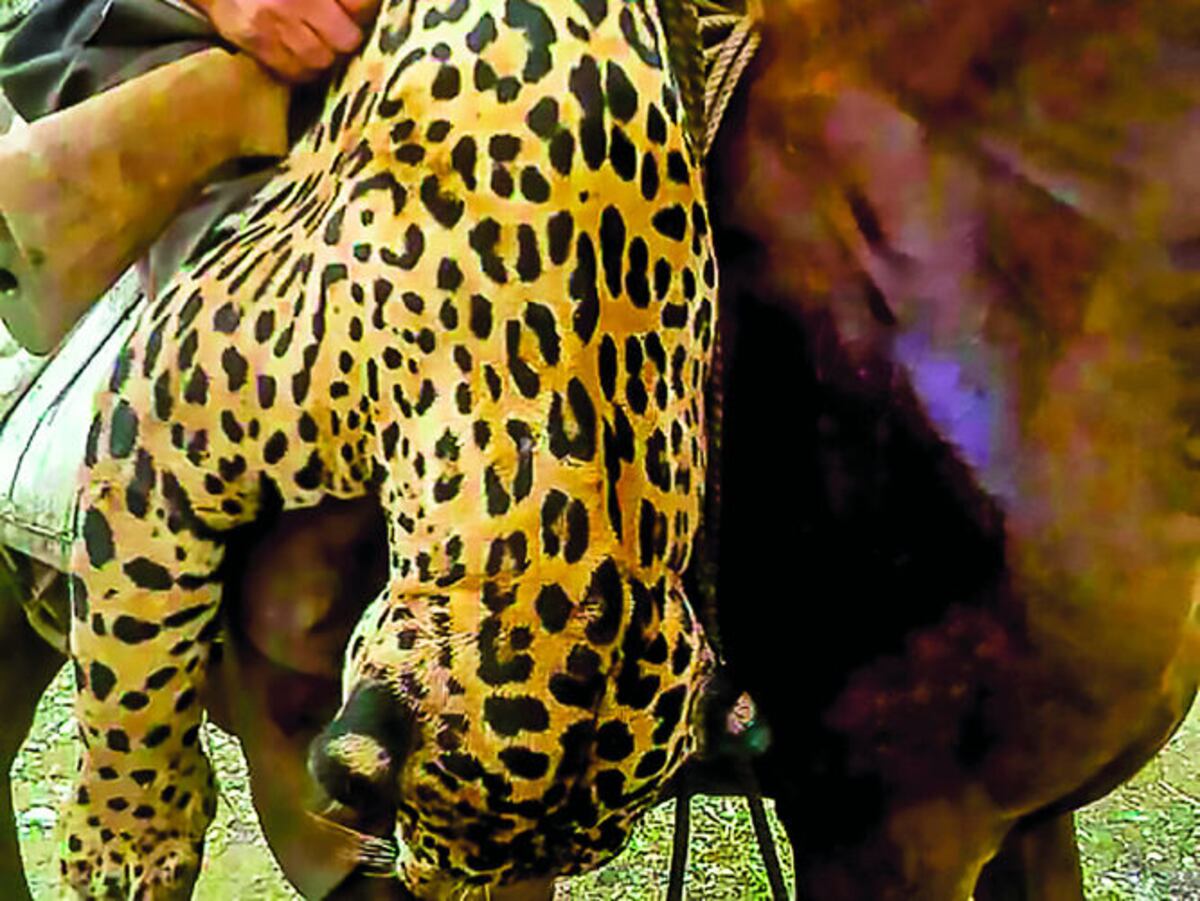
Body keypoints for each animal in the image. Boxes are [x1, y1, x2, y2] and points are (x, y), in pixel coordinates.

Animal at [60, 0, 717, 896]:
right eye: (434, 841)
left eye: (548, 869)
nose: (424, 889)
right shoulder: (164, 414)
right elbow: (131, 648)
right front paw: (127, 841)